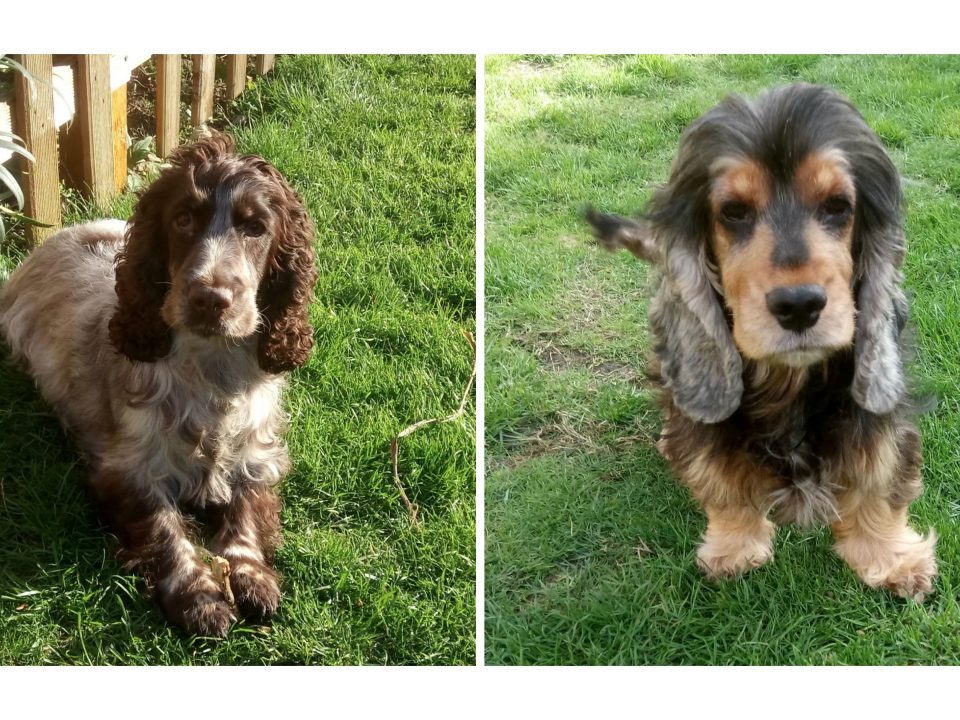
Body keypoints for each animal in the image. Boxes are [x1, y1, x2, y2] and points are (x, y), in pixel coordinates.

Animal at [0, 132, 318, 632]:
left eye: (255, 228)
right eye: (182, 219)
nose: (210, 298)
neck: (211, 367)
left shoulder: (258, 456)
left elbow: (245, 512)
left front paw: (251, 575)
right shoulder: (129, 469)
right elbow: (166, 529)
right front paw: (200, 598)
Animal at [588, 84, 932, 600]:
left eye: (837, 206)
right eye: (733, 212)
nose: (799, 305)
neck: (789, 378)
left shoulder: (873, 401)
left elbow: (879, 472)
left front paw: (890, 557)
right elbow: (720, 473)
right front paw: (735, 546)